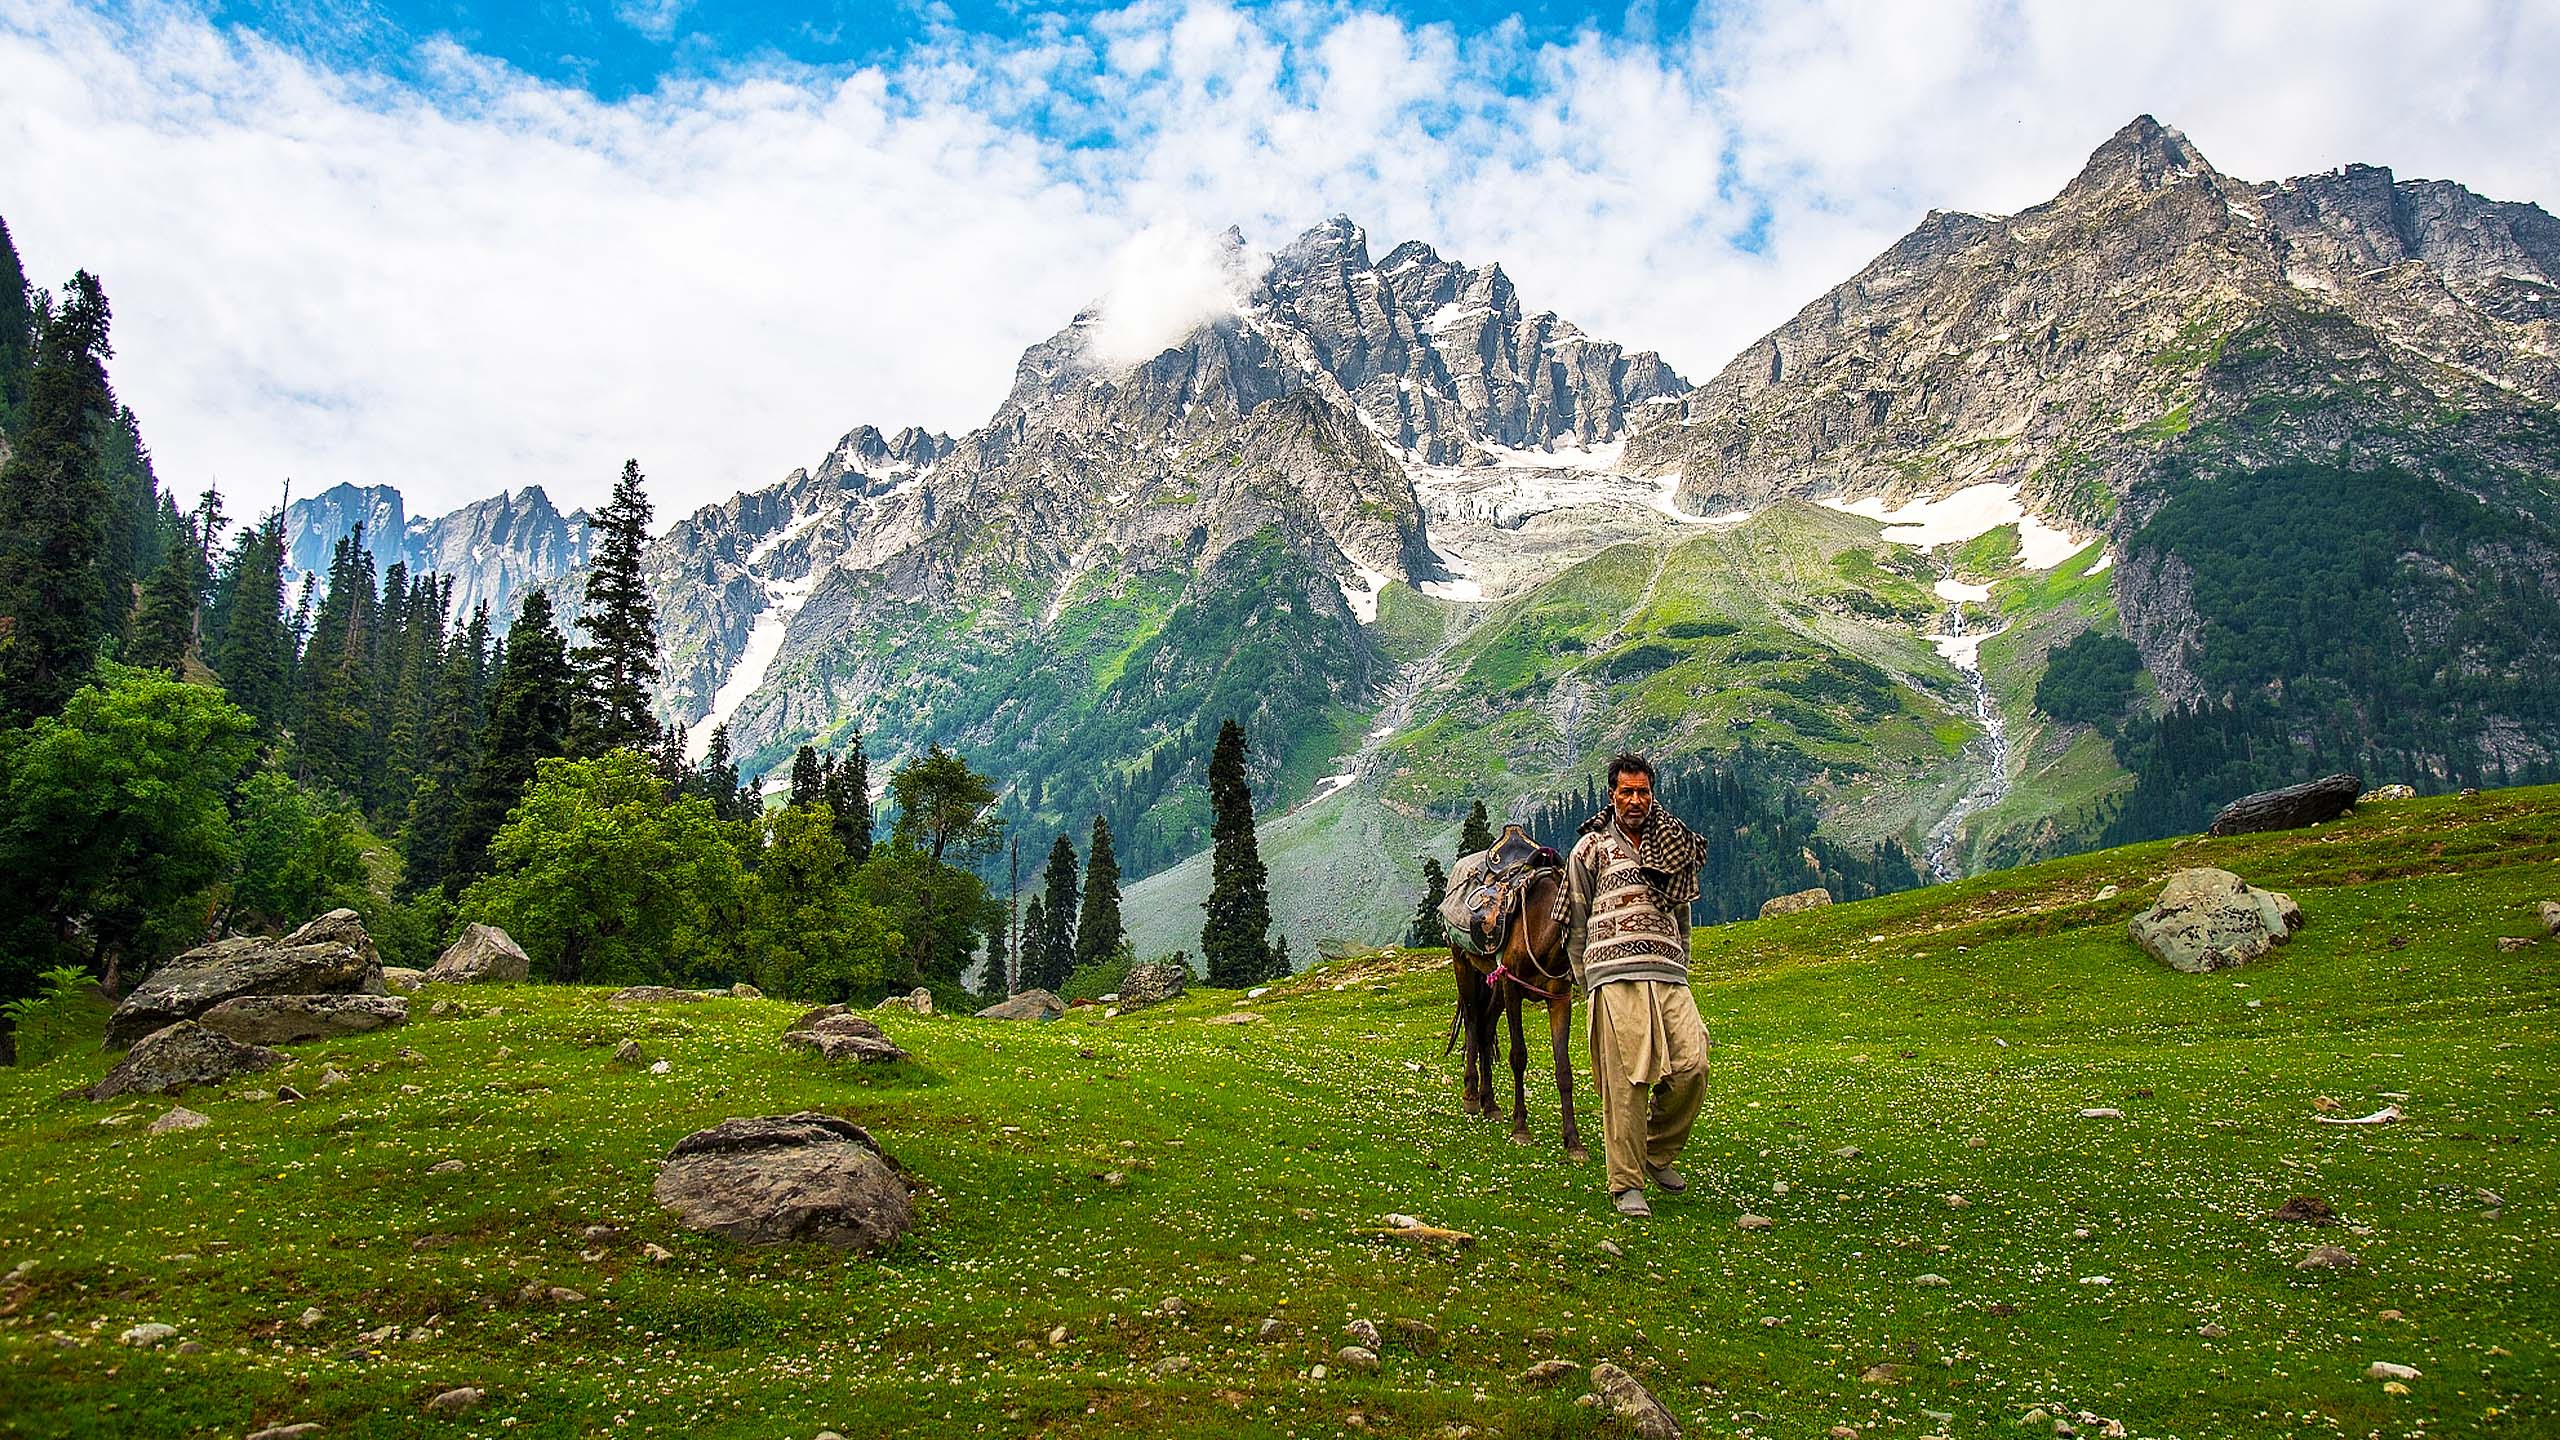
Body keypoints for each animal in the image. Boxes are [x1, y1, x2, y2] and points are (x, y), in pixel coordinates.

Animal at [1454, 855, 1587, 1158]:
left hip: (1495, 984)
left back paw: (1490, 1104)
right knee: (1473, 1021)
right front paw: (1521, 1128)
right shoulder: (1512, 987)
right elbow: (1518, 1056)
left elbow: (1564, 1068)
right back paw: (1471, 1095)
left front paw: (1573, 1141)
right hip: (1464, 965)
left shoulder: (1559, 998)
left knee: (1486, 1028)